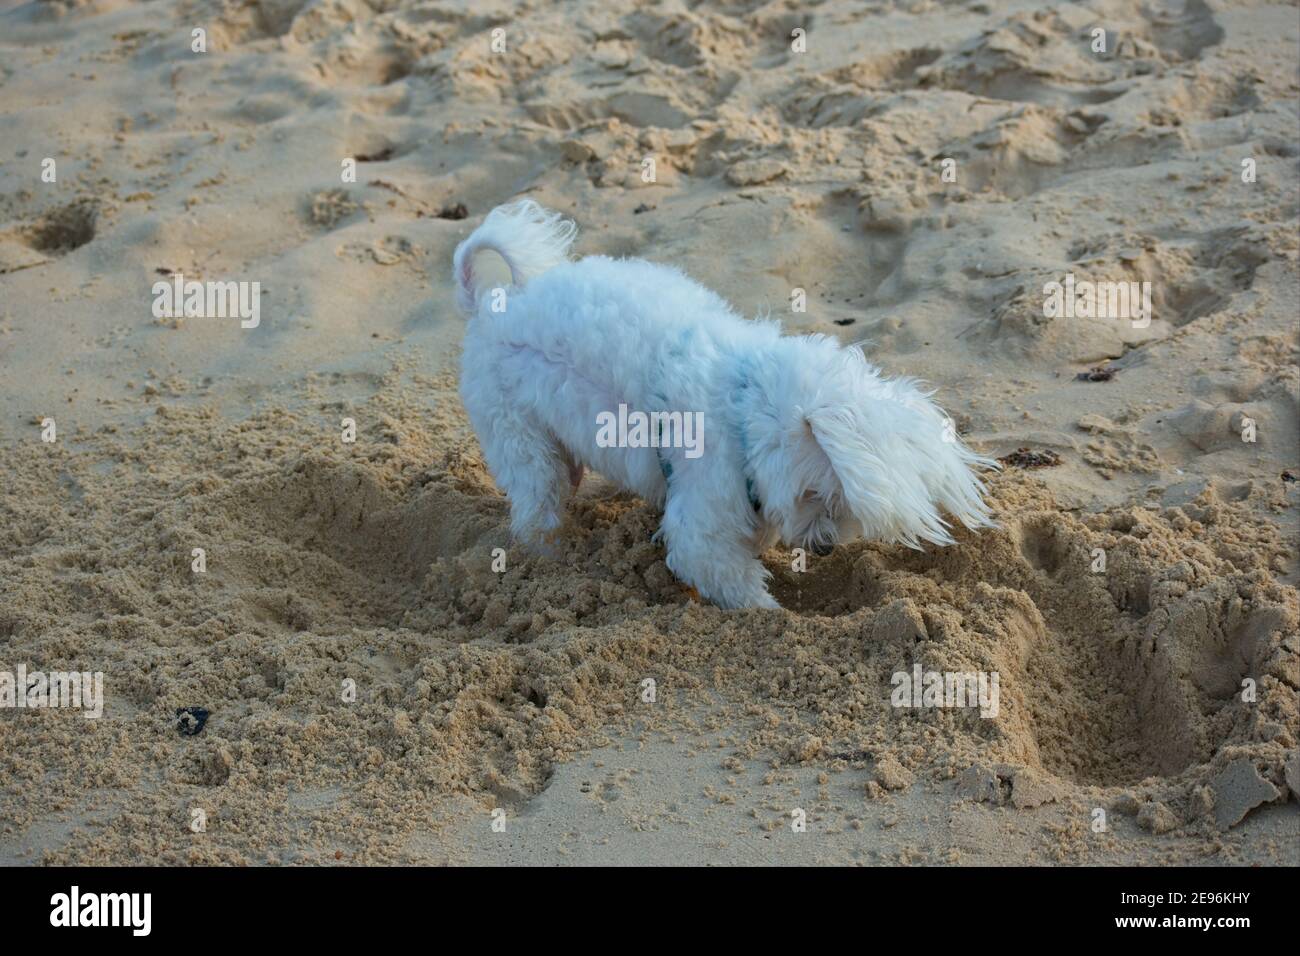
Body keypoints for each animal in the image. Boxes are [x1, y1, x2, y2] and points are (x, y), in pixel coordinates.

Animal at [457, 197, 993, 608]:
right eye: (815, 494)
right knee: (536, 509)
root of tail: (491, 307)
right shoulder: (704, 520)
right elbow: (732, 580)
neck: (745, 408)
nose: (824, 549)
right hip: (520, 441)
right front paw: (771, 614)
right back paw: (551, 563)